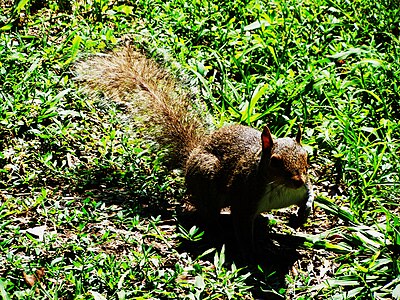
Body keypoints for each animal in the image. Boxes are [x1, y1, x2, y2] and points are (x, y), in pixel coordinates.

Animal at [74, 45, 312, 251]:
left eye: (306, 156)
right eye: (274, 161)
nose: (298, 180)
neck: (280, 188)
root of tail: (190, 157)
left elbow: (309, 194)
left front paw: (304, 213)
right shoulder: (244, 200)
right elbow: (242, 229)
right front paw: (253, 253)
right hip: (207, 178)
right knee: (207, 211)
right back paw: (218, 229)